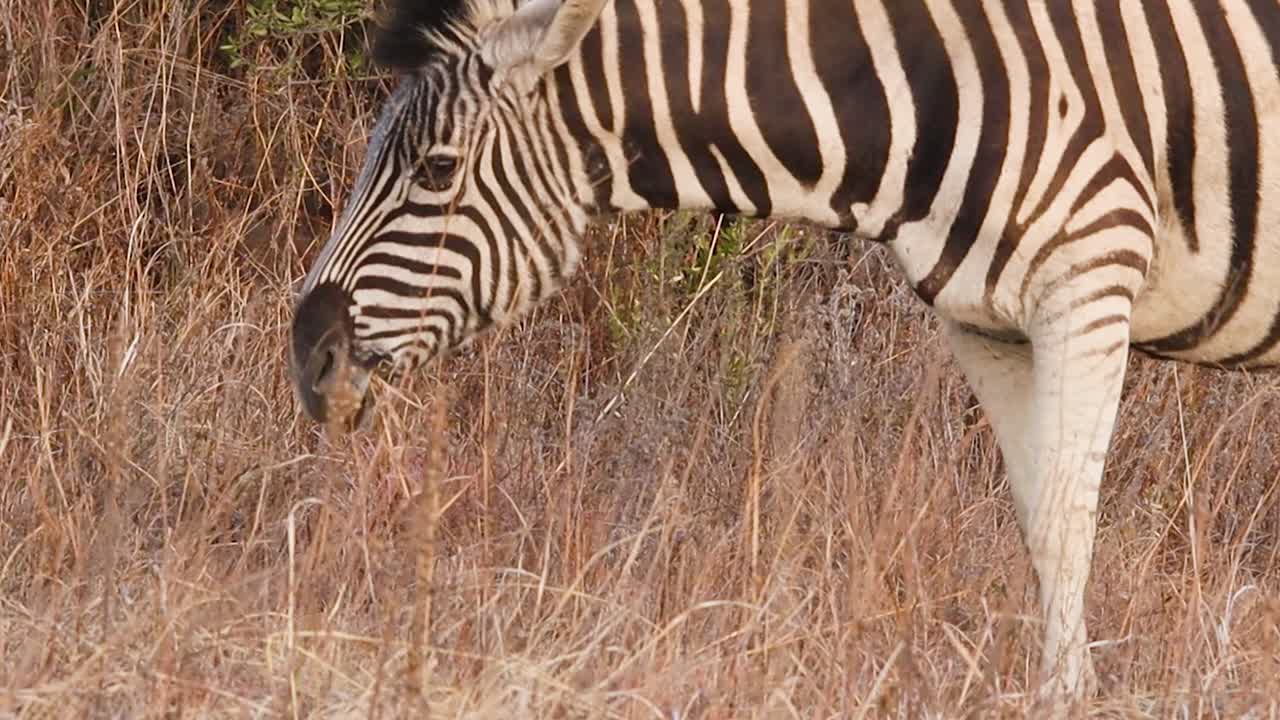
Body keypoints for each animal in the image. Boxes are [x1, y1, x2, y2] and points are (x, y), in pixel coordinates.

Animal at [289, 0, 1280, 700]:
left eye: (438, 170)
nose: (309, 357)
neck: (924, 94)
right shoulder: (988, 325)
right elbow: (1039, 524)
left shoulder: (1090, 277)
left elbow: (1072, 523)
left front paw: (1067, 699)